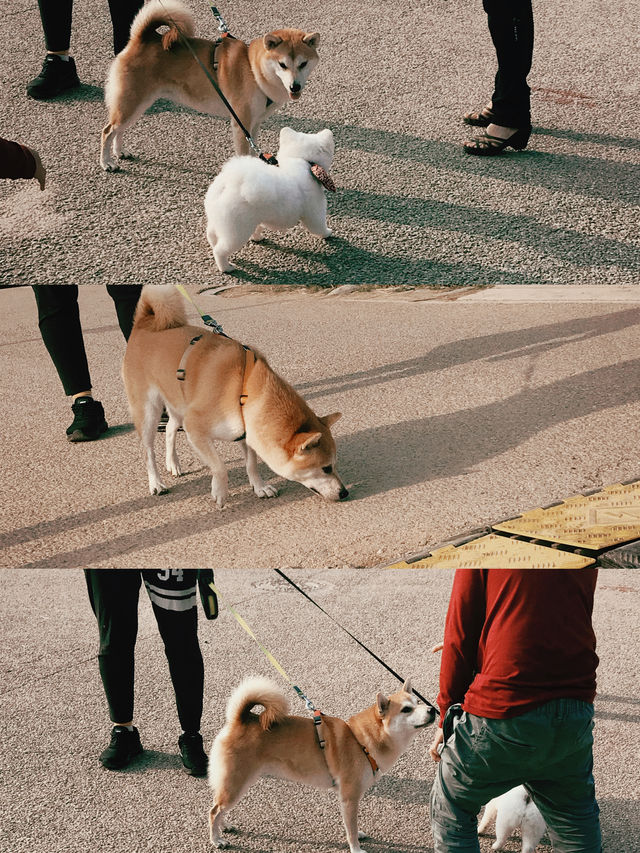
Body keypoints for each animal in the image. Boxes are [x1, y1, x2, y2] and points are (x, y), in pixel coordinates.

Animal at [100, 0, 320, 173]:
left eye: (303, 64)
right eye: (282, 64)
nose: (295, 87)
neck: (253, 68)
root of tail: (142, 39)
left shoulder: (255, 123)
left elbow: (252, 150)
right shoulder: (241, 125)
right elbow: (244, 152)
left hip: (137, 105)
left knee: (118, 131)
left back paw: (120, 152)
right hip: (131, 103)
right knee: (108, 131)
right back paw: (107, 163)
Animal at [122, 290, 348, 510]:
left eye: (335, 465)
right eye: (326, 468)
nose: (344, 492)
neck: (244, 391)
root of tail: (145, 322)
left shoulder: (246, 433)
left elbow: (251, 464)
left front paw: (259, 487)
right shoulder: (195, 428)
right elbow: (219, 466)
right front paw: (220, 492)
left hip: (178, 403)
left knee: (170, 429)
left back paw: (174, 464)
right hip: (149, 411)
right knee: (149, 451)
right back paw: (156, 483)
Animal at [205, 126, 336, 272]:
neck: (301, 159)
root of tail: (227, 185)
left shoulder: (257, 218)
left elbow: (257, 228)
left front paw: (257, 237)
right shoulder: (314, 212)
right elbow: (319, 227)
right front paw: (327, 233)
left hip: (218, 221)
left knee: (211, 235)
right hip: (237, 231)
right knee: (220, 250)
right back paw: (226, 267)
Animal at [208, 676, 438, 848]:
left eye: (417, 702)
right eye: (406, 709)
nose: (431, 709)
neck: (361, 740)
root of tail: (241, 720)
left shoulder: (347, 798)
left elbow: (351, 824)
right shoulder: (349, 797)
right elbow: (351, 829)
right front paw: (356, 848)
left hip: (237, 784)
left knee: (220, 808)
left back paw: (224, 825)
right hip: (236, 783)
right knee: (214, 811)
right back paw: (216, 839)